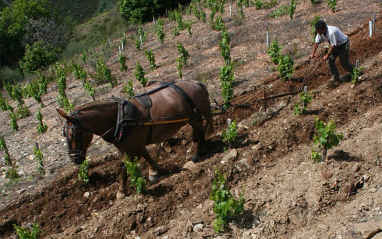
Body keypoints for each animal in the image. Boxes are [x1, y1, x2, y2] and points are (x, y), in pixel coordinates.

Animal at [56, 80, 213, 198]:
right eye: (64, 134)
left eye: (74, 133)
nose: (75, 159)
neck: (120, 119)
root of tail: (195, 83)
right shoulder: (134, 146)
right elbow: (146, 154)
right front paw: (154, 171)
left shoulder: (132, 150)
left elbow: (125, 170)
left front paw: (121, 191)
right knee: (200, 130)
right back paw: (202, 145)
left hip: (194, 117)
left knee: (201, 130)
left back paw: (198, 153)